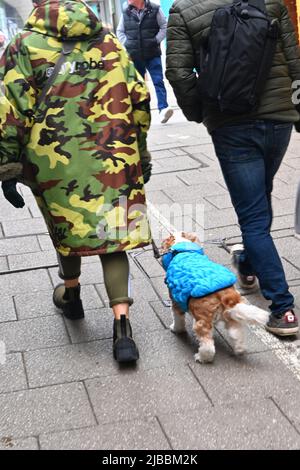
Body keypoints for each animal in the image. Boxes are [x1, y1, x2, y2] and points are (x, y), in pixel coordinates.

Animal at [162, 232, 270, 364]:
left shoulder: (176, 302)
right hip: (230, 318)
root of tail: (225, 295)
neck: (182, 250)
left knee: (208, 346)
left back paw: (202, 357)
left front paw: (176, 329)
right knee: (236, 334)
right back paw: (239, 349)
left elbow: (177, 319)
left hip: (203, 322)